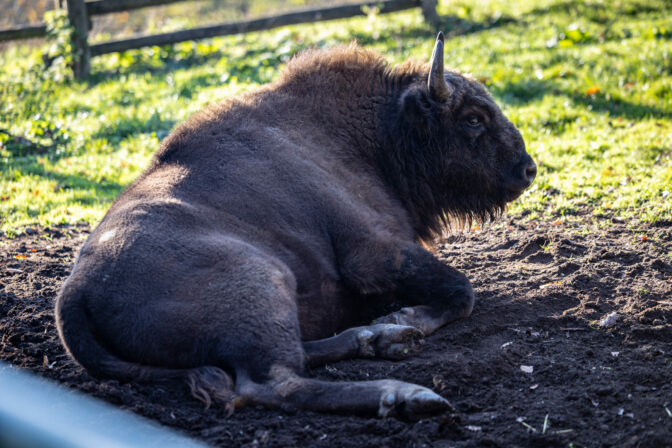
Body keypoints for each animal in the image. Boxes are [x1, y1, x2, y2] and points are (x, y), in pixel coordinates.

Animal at [55, 33, 536, 418]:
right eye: (473, 118)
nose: (527, 169)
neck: (374, 134)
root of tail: (74, 291)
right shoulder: (376, 253)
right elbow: (462, 292)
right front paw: (406, 316)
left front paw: (398, 322)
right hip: (265, 278)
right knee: (274, 382)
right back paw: (405, 394)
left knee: (294, 356)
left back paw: (381, 338)